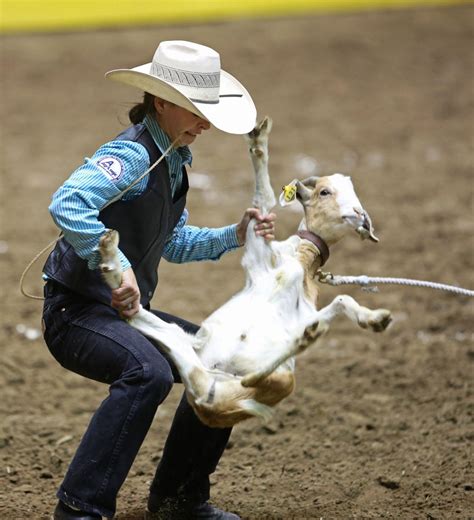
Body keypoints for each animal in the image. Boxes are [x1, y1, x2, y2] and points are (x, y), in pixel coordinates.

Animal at [98, 117, 390, 426]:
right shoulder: (256, 248)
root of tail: (208, 402)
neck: (298, 262)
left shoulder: (304, 305)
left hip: (230, 364)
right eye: (325, 191)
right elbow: (264, 198)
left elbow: (342, 300)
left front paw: (375, 320)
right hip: (193, 352)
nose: (358, 214)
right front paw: (258, 139)